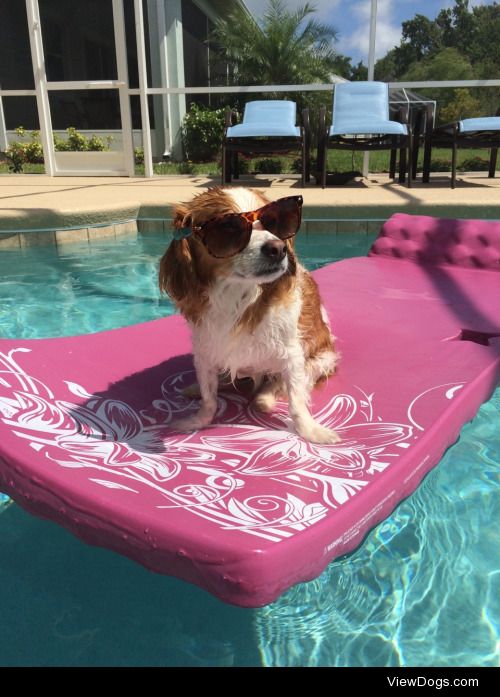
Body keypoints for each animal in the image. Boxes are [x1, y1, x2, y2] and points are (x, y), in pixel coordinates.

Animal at [160, 188, 340, 444]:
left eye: (272, 222)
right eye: (228, 228)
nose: (278, 248)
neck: (238, 295)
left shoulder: (293, 355)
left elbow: (296, 400)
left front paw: (310, 430)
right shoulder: (205, 351)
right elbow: (209, 397)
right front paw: (198, 420)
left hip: (321, 360)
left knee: (284, 384)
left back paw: (265, 398)